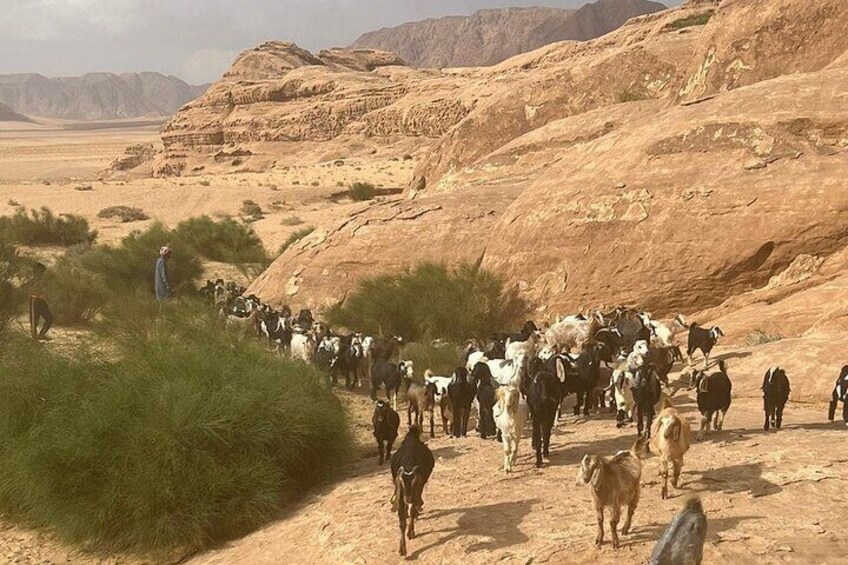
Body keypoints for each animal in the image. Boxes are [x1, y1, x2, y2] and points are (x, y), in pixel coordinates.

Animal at [390, 428, 434, 556]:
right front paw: (402, 549)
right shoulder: (400, 492)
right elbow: (402, 522)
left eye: (414, 483)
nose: (408, 498)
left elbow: (413, 510)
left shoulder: (418, 490)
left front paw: (410, 532)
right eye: (402, 482)